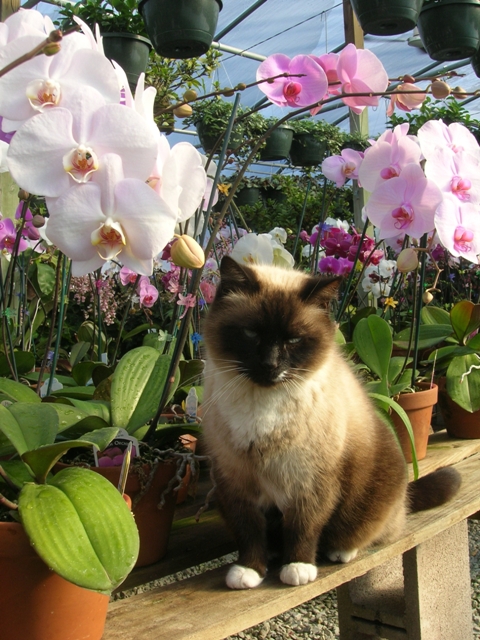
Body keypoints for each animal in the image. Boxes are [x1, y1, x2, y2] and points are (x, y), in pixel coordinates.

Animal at [202, 255, 462, 592]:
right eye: (251, 334)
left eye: (294, 339)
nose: (270, 365)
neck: (264, 405)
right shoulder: (235, 481)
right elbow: (249, 530)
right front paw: (249, 571)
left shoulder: (309, 481)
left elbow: (303, 527)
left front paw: (298, 567)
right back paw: (273, 555)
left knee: (367, 531)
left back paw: (340, 551)